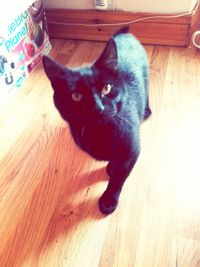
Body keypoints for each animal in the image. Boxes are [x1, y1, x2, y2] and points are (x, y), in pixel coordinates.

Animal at [42, 27, 152, 216]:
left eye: (106, 88)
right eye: (76, 96)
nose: (98, 108)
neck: (100, 133)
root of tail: (124, 34)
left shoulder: (132, 151)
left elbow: (119, 178)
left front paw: (108, 199)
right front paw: (111, 166)